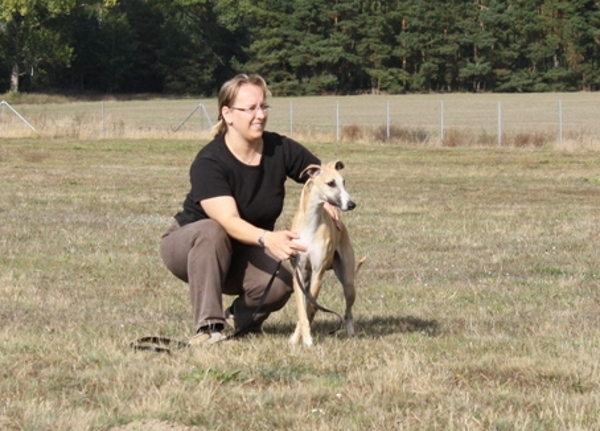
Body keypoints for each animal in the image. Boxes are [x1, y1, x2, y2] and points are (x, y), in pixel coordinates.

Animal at [290, 160, 360, 346]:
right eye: (331, 183)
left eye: (344, 182)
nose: (352, 204)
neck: (310, 224)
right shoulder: (299, 274)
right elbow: (302, 310)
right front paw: (297, 339)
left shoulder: (317, 273)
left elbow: (307, 309)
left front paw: (306, 340)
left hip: (348, 283)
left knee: (347, 311)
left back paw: (351, 332)